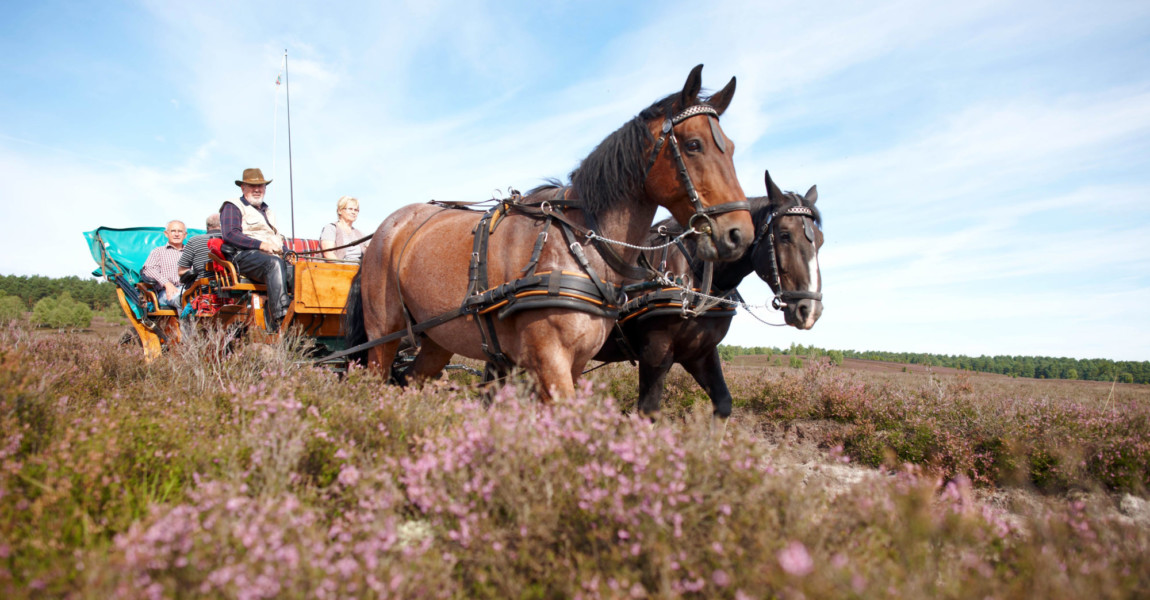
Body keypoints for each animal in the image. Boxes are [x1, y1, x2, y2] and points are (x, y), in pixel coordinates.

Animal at [345, 65, 759, 400]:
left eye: (731, 148)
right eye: (694, 145)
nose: (739, 233)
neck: (577, 243)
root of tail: (387, 229)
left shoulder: (573, 363)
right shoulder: (550, 360)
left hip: (435, 340)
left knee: (409, 381)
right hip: (383, 334)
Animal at [593, 167, 828, 418]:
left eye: (821, 240)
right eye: (784, 235)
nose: (810, 310)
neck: (697, 277)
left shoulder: (701, 354)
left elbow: (723, 402)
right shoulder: (655, 353)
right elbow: (647, 412)